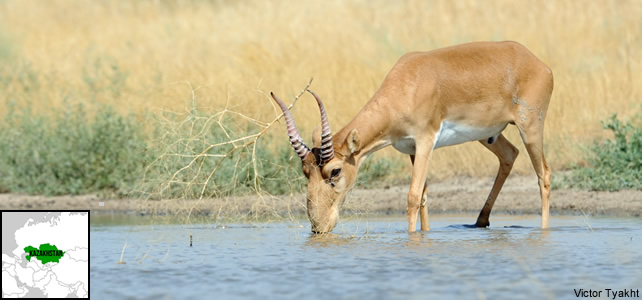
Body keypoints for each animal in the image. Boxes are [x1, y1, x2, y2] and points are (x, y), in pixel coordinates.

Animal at [270, 41, 552, 233]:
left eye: (335, 171)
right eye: (306, 172)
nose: (319, 227)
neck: (408, 82)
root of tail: (540, 64)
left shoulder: (426, 142)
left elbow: (413, 197)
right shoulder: (411, 149)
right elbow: (424, 199)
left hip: (530, 129)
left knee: (544, 175)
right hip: (489, 135)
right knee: (510, 155)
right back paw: (480, 221)